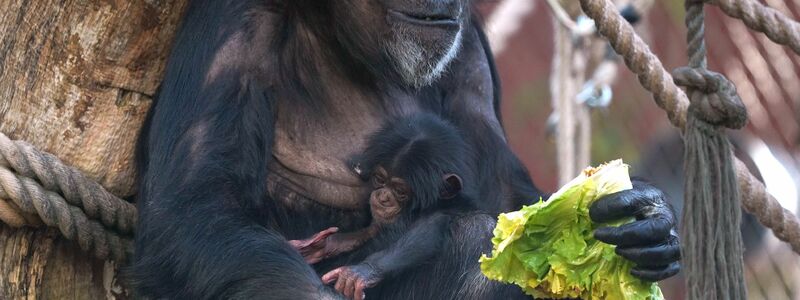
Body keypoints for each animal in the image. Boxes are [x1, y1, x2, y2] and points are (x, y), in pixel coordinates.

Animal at [292, 113, 482, 300]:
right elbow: (371, 231)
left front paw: (364, 272)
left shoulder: (446, 210)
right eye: (380, 179)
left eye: (400, 191)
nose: (383, 198)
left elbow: (427, 230)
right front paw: (323, 245)